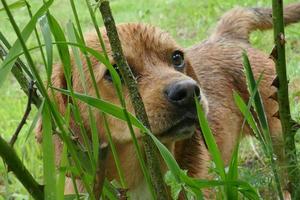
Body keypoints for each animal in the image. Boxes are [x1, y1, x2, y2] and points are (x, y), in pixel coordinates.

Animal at [35, 1, 300, 200]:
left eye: (177, 58)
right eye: (115, 71)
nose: (189, 91)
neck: (140, 175)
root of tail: (227, 36)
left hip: (277, 135)